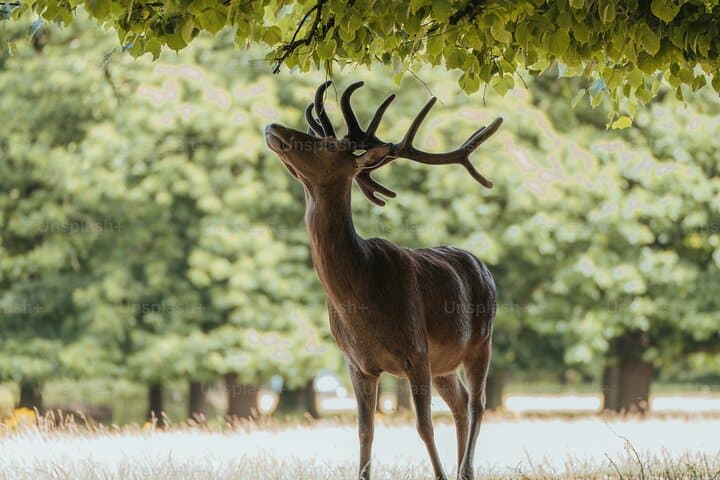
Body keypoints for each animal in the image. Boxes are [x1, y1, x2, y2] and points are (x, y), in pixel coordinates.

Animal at [264, 81, 502, 480]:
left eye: (328, 146)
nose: (273, 127)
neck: (361, 297)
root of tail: (483, 266)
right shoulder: (357, 363)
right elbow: (364, 431)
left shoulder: (415, 349)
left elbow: (424, 426)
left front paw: (438, 476)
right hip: (443, 363)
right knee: (460, 403)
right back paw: (461, 470)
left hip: (481, 341)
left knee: (478, 403)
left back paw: (465, 468)